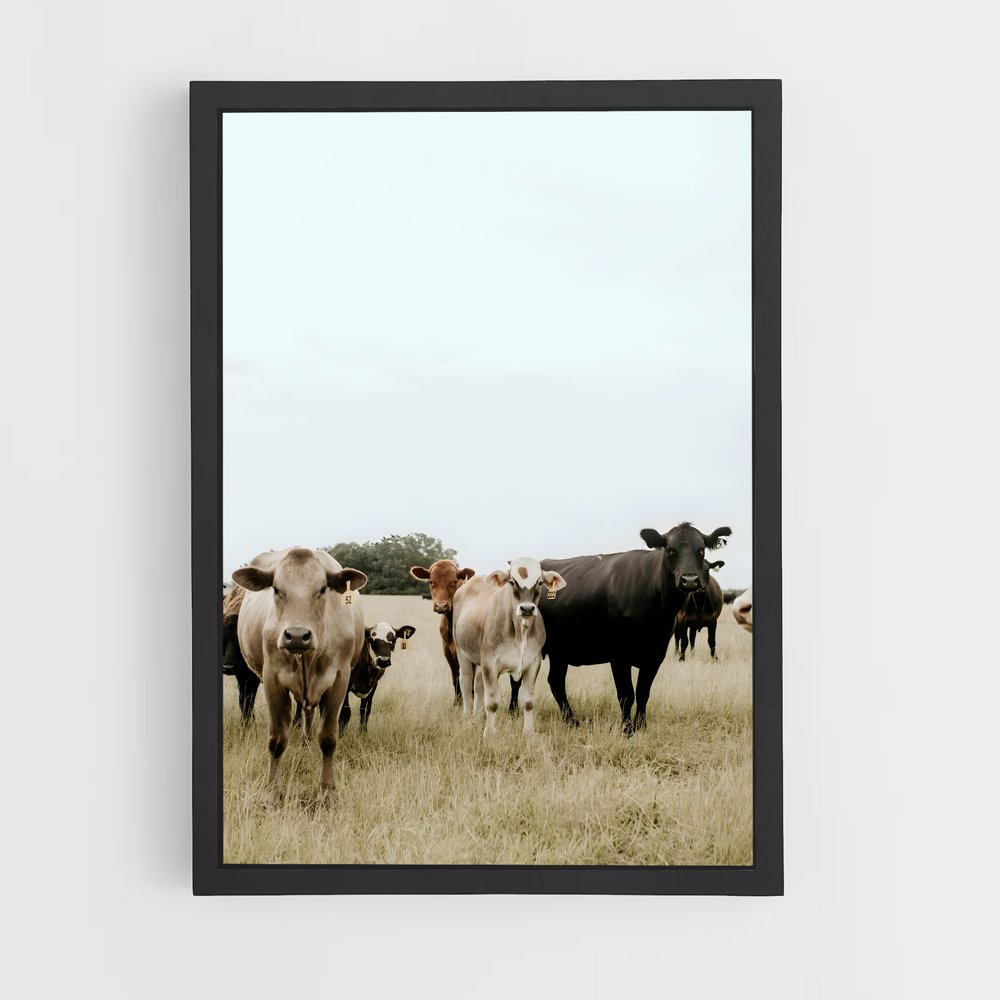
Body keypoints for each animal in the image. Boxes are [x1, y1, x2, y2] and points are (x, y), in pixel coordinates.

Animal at [222, 584, 261, 722]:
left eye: (240, 638)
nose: (228, 667)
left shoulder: (253, 676)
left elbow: (249, 700)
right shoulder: (241, 675)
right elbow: (243, 701)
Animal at [232, 546, 368, 802]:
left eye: (322, 588)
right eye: (276, 588)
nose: (296, 636)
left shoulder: (339, 680)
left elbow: (328, 738)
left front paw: (326, 791)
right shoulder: (272, 679)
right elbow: (277, 740)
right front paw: (272, 792)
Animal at [409, 560, 476, 704]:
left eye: (453, 581)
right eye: (431, 582)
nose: (440, 606)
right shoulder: (447, 650)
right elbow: (455, 678)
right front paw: (456, 703)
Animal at [452, 557, 566, 736]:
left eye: (540, 582)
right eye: (512, 582)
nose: (527, 608)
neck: (520, 632)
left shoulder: (533, 663)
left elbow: (528, 701)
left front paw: (529, 733)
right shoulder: (490, 663)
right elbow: (492, 702)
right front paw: (490, 733)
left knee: (478, 683)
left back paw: (476, 717)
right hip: (461, 651)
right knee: (466, 682)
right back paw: (466, 717)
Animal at [534, 522, 732, 734]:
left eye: (701, 550)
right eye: (670, 549)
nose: (690, 580)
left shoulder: (656, 654)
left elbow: (643, 692)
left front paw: (642, 726)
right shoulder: (619, 655)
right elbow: (626, 694)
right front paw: (627, 729)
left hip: (559, 652)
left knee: (555, 681)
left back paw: (571, 721)